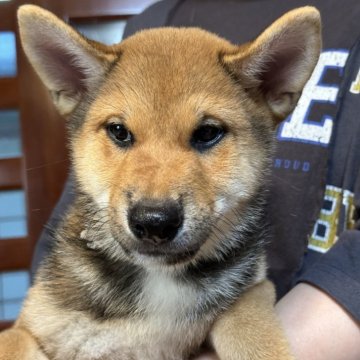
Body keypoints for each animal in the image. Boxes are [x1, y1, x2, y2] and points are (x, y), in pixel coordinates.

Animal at [0, 3, 320, 360]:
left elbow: (245, 314)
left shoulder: (253, 286)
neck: (158, 279)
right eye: (119, 131)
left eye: (208, 133)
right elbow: (13, 341)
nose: (154, 222)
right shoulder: (28, 326)